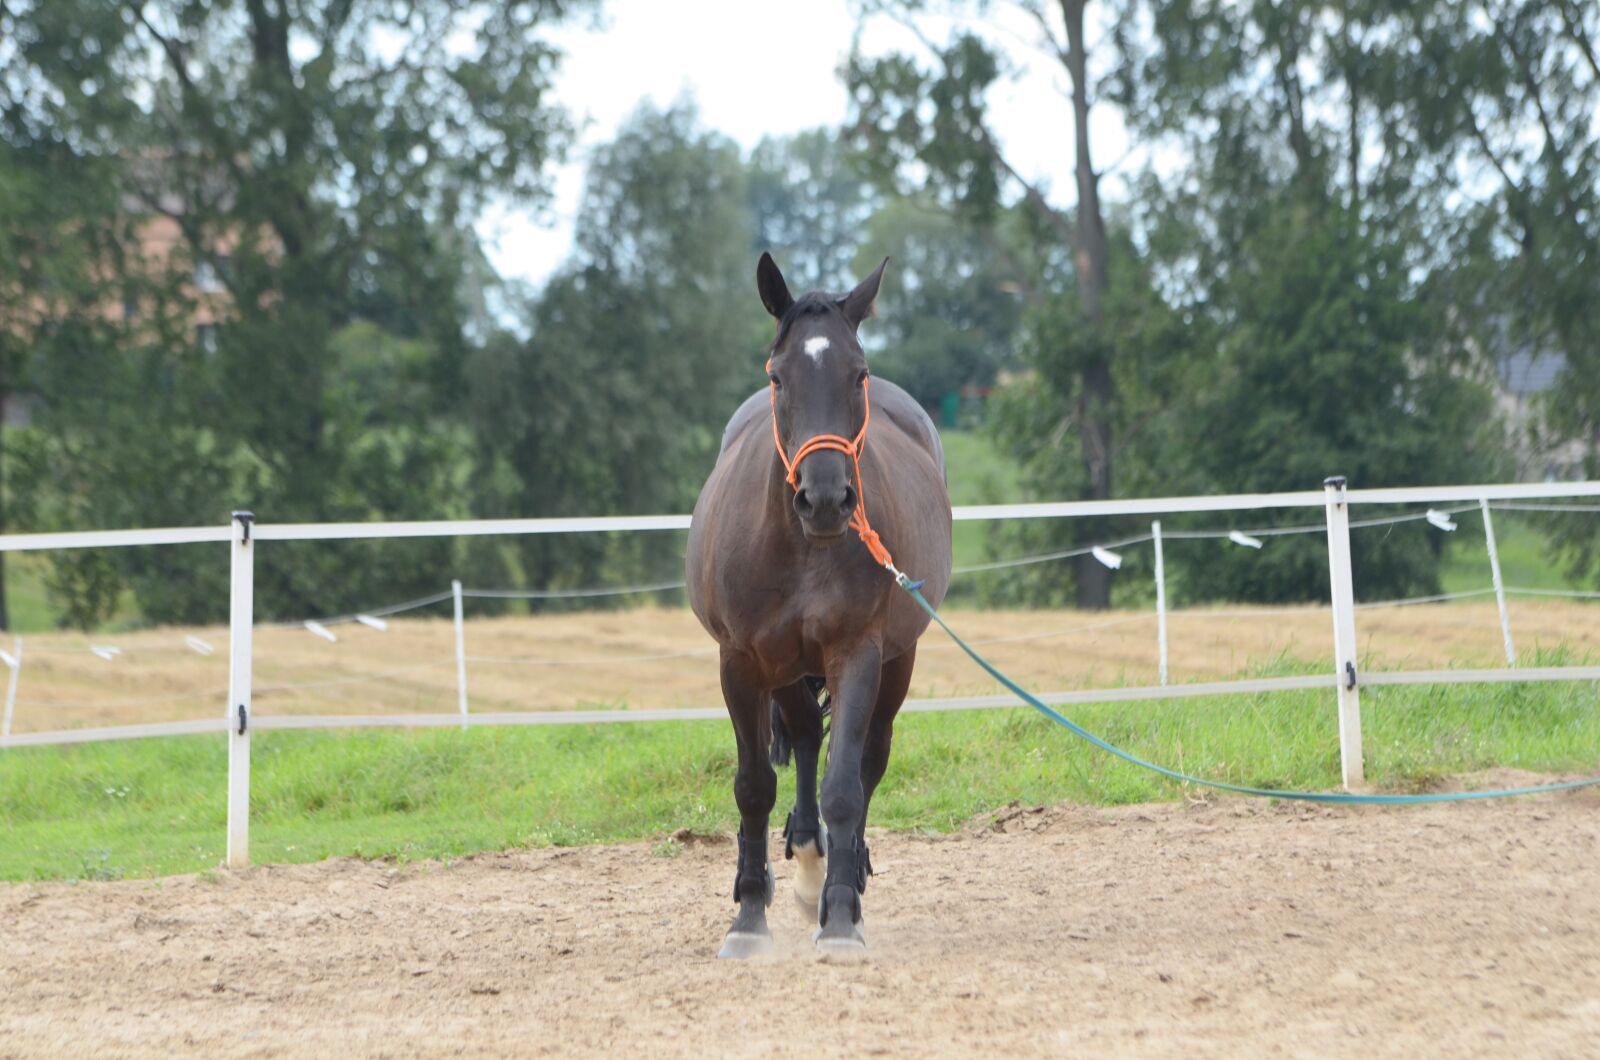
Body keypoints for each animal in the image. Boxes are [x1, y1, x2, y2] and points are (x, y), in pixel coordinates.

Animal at [685, 253, 953, 958]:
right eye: (778, 377)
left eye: (858, 374)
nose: (826, 498)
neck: (801, 546)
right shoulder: (742, 660)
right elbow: (754, 785)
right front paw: (749, 916)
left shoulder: (857, 652)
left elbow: (844, 787)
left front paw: (839, 917)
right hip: (783, 666)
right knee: (805, 736)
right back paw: (801, 865)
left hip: (896, 661)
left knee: (866, 761)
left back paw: (839, 878)